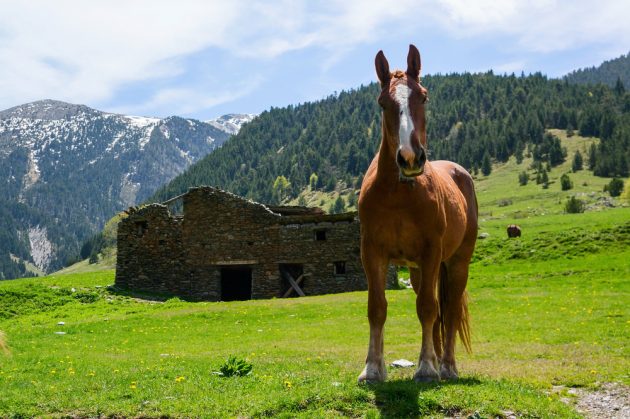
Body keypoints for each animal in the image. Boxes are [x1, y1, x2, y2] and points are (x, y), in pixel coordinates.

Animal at [360, 45, 478, 384]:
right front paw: (372, 369)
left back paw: (447, 366)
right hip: (419, 269)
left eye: (423, 97)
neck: (398, 195)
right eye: (382, 102)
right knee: (438, 312)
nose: (410, 158)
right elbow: (377, 307)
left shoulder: (431, 252)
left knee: (448, 310)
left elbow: (427, 307)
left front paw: (426, 368)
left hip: (456, 262)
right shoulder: (372, 252)